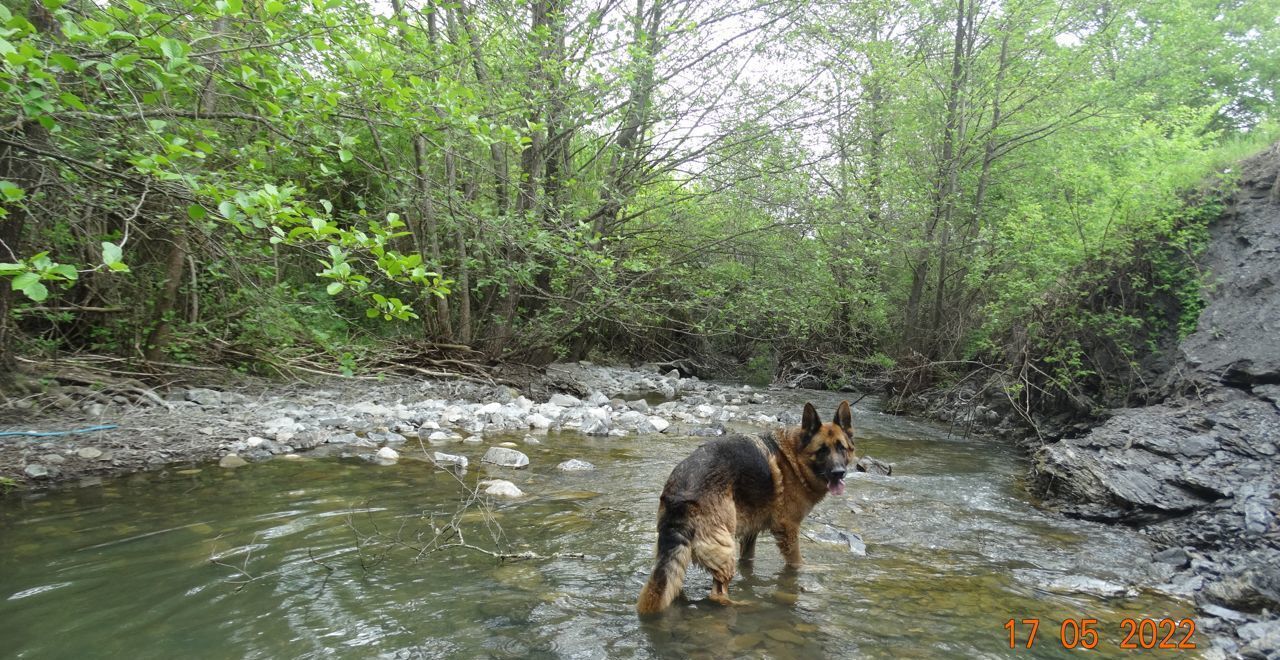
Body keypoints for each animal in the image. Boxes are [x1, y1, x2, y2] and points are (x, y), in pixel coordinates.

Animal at [637, 399, 855, 616]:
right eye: (822, 450)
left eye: (841, 448)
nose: (839, 473)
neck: (795, 457)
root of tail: (681, 494)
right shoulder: (788, 529)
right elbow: (796, 562)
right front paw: (808, 570)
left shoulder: (751, 532)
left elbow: (748, 560)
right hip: (725, 550)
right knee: (717, 595)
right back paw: (746, 604)